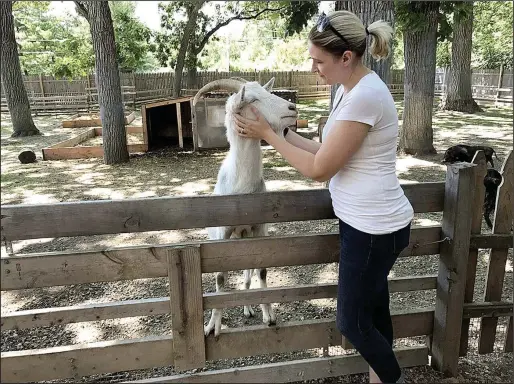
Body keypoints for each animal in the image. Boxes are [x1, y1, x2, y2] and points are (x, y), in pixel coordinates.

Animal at [191, 76, 296, 338]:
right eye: (253, 99)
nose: (292, 108)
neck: (242, 188)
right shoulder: (222, 234)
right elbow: (220, 278)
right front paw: (212, 326)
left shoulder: (259, 228)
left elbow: (262, 271)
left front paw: (269, 315)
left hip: (246, 238)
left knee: (248, 272)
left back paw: (249, 308)